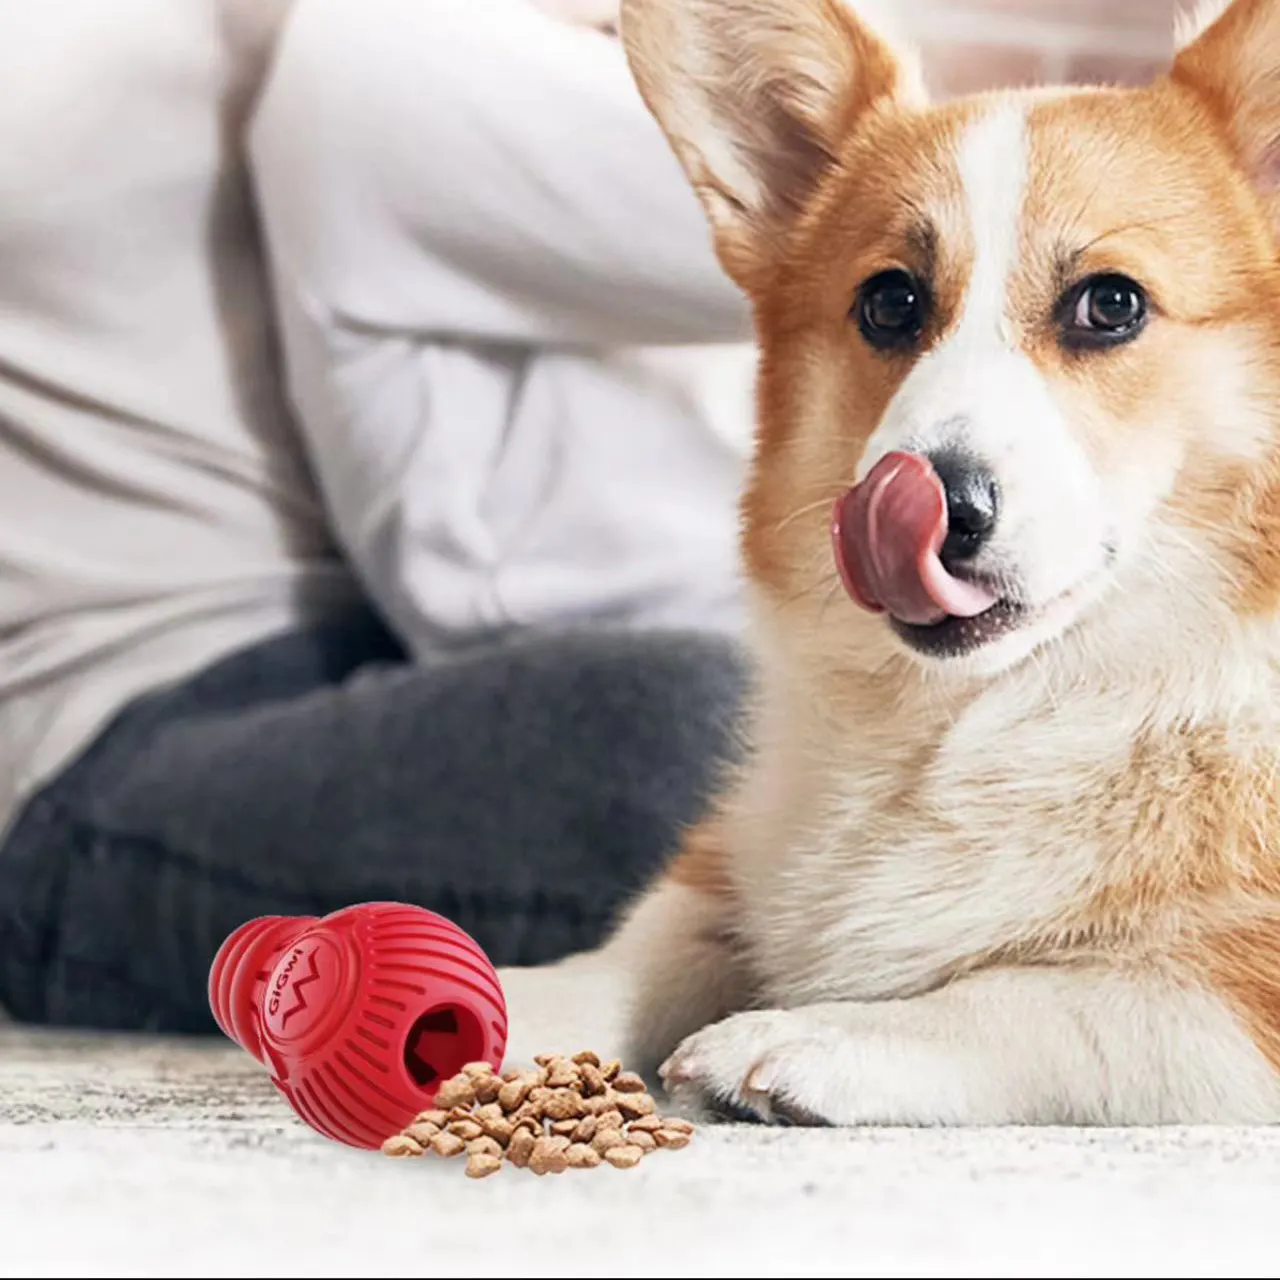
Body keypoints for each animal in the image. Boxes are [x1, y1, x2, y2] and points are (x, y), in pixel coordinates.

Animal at [506, 0, 1280, 1126]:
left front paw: (804, 1035)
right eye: (888, 303)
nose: (932, 504)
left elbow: (1038, 995)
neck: (972, 719)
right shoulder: (732, 858)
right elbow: (628, 954)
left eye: (1111, 304)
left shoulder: (1227, 1006)